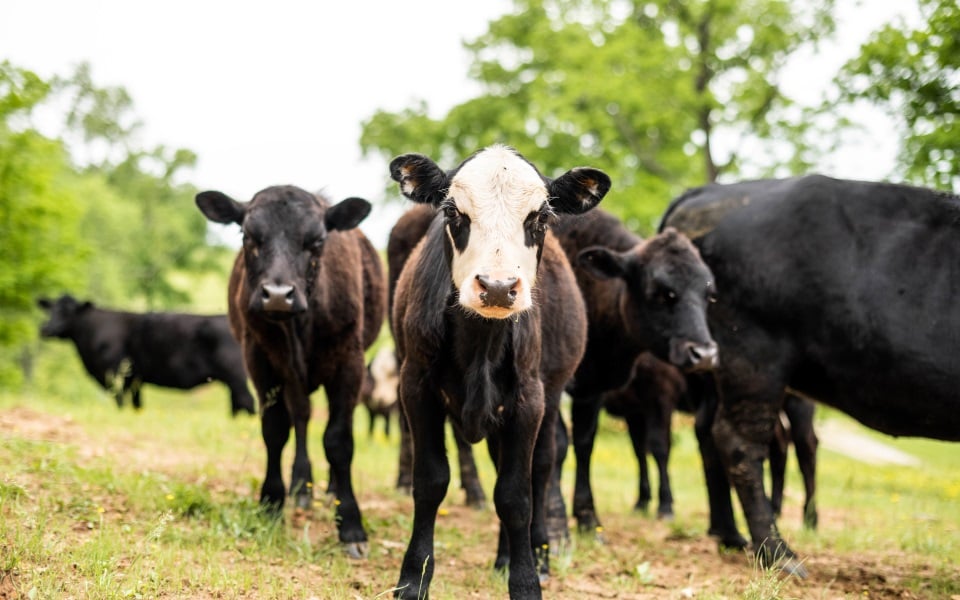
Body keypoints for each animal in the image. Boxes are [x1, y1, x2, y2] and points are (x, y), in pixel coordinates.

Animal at [37, 292, 255, 414]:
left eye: (68, 312)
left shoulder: (117, 376)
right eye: (51, 310)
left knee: (247, 402)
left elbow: (121, 404)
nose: (45, 329)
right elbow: (137, 406)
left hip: (236, 375)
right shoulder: (135, 381)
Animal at [195, 184, 386, 556]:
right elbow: (275, 429)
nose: (277, 295)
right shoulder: (260, 358)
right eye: (248, 236)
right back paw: (301, 487)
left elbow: (339, 440)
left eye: (318, 241)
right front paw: (271, 503)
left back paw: (329, 489)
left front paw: (351, 525)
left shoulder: (350, 362)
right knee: (301, 417)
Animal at [388, 143, 608, 596]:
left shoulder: (528, 401)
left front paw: (525, 582)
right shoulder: (415, 386)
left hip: (548, 399)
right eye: (452, 212)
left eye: (541, 217)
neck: (480, 343)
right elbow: (430, 482)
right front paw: (413, 579)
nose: (496, 287)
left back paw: (533, 554)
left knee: (540, 467)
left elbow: (516, 496)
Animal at [548, 207, 720, 540]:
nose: (704, 354)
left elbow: (590, 444)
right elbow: (561, 443)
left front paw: (588, 517)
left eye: (709, 295)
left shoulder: (604, 390)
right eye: (661, 293)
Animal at [664, 175, 960, 576]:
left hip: (719, 369)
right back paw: (778, 552)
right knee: (744, 442)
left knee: (712, 434)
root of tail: (714, 190)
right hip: (754, 358)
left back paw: (730, 535)